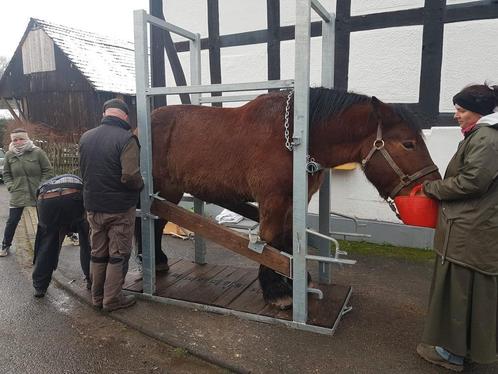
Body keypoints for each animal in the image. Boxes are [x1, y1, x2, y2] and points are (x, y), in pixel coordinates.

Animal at [151, 88, 440, 310]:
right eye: (408, 144)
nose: (428, 188)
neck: (293, 140)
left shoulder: (293, 201)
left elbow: (288, 238)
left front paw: (295, 280)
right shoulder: (272, 200)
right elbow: (269, 240)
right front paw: (276, 291)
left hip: (170, 191)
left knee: (156, 222)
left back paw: (157, 261)